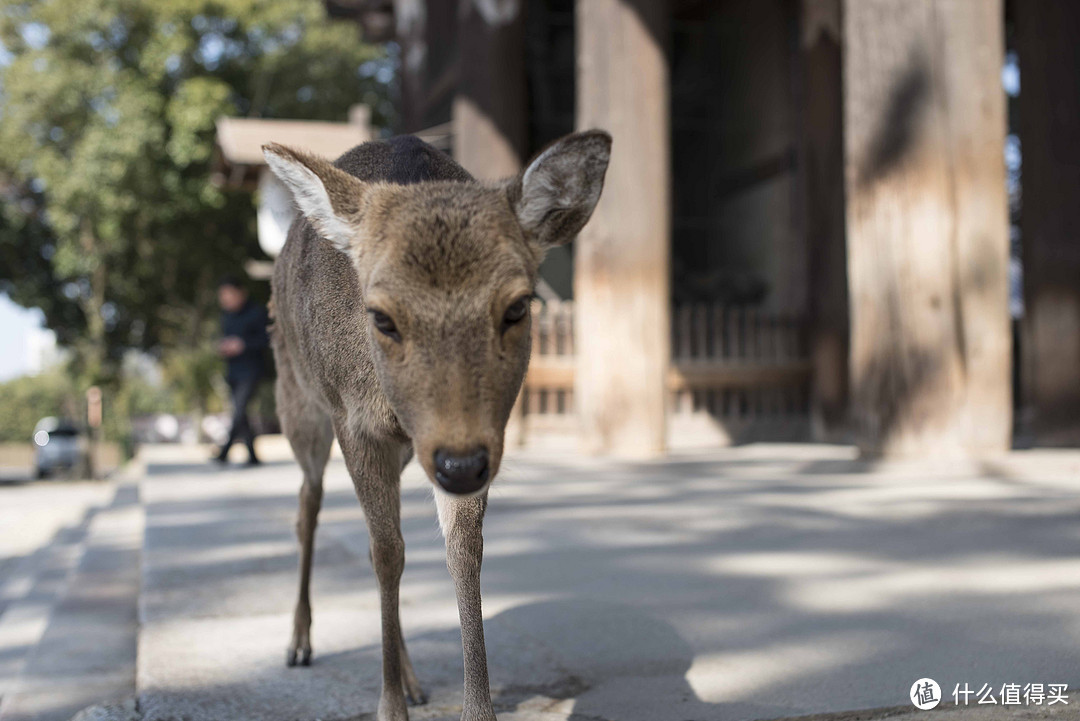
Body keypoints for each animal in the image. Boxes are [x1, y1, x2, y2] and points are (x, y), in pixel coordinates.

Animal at [262, 129, 613, 721]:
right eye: (380, 316)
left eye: (518, 307)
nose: (459, 464)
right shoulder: (353, 421)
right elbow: (386, 552)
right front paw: (388, 709)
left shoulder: (480, 435)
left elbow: (461, 551)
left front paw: (474, 710)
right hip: (297, 399)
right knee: (309, 503)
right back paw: (299, 644)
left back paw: (410, 678)